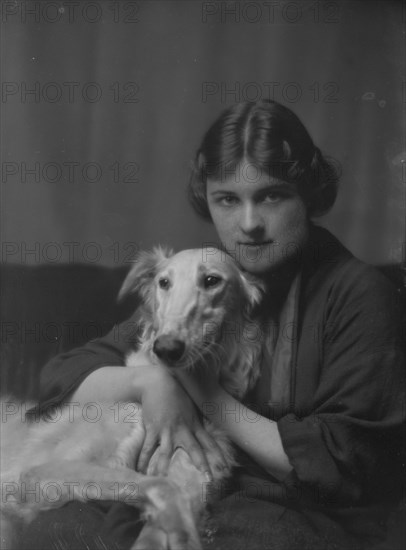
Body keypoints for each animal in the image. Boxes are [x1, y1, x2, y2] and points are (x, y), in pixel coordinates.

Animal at [0, 249, 264, 550]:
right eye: (164, 282)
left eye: (212, 280)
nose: (166, 348)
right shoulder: (38, 472)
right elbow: (161, 486)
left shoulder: (189, 480)